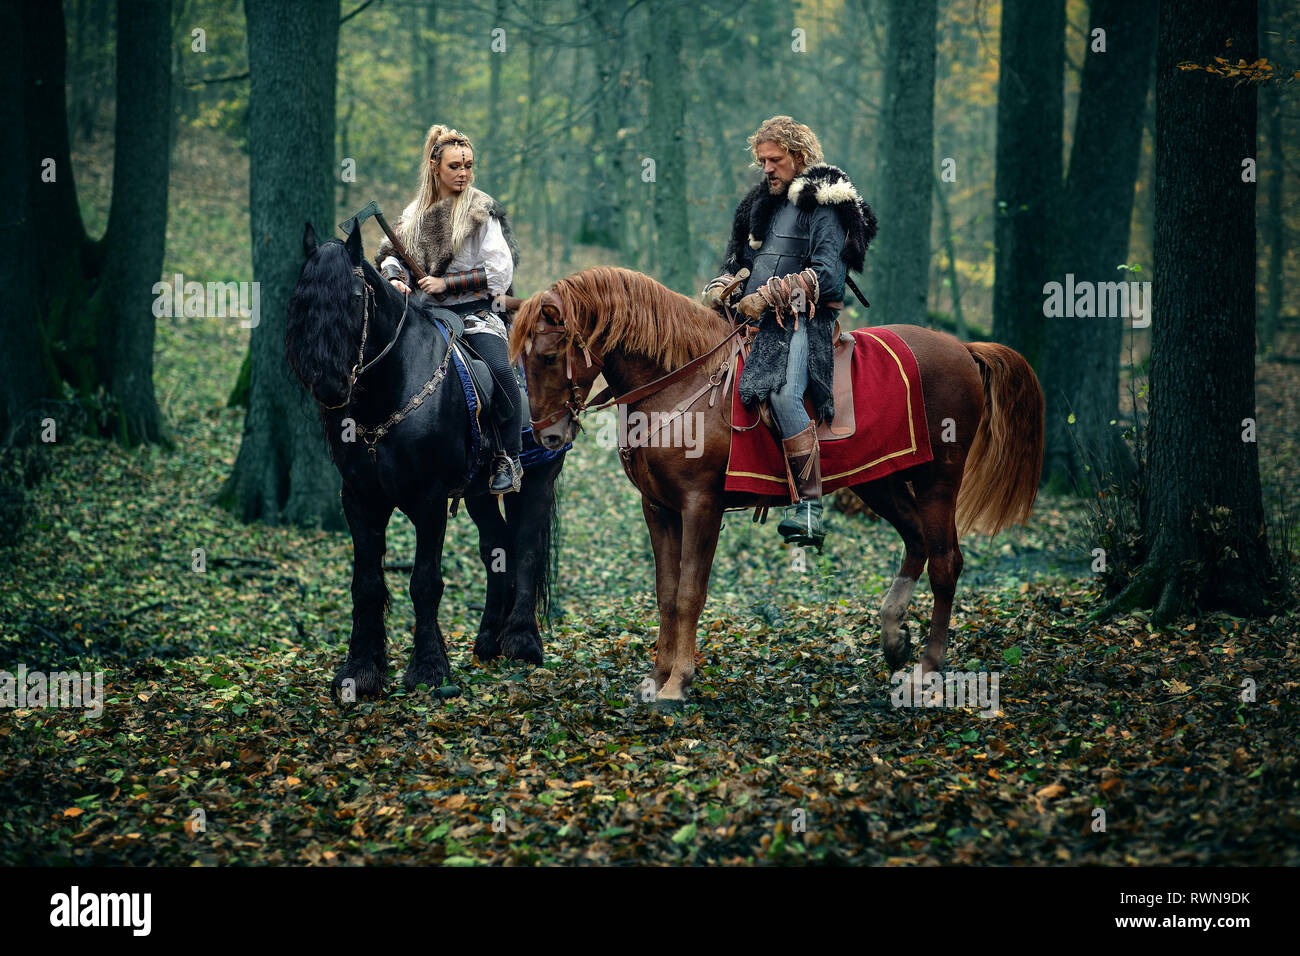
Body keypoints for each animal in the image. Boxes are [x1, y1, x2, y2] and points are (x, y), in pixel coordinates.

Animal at [285, 223, 565, 700]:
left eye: (354, 298)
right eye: (303, 297)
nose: (328, 384)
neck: (388, 393)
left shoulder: (429, 500)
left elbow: (425, 583)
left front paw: (429, 668)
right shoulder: (359, 499)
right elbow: (366, 584)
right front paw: (360, 670)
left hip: (538, 477)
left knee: (526, 546)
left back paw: (522, 642)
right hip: (479, 492)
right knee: (498, 546)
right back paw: (488, 640)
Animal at [508, 266, 1043, 702]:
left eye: (551, 356)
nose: (547, 435)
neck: (680, 382)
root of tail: (962, 349)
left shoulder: (702, 506)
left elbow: (689, 593)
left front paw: (678, 682)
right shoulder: (658, 509)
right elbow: (666, 593)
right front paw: (657, 678)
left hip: (937, 479)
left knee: (945, 562)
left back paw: (926, 671)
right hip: (881, 480)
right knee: (918, 542)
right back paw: (894, 639)